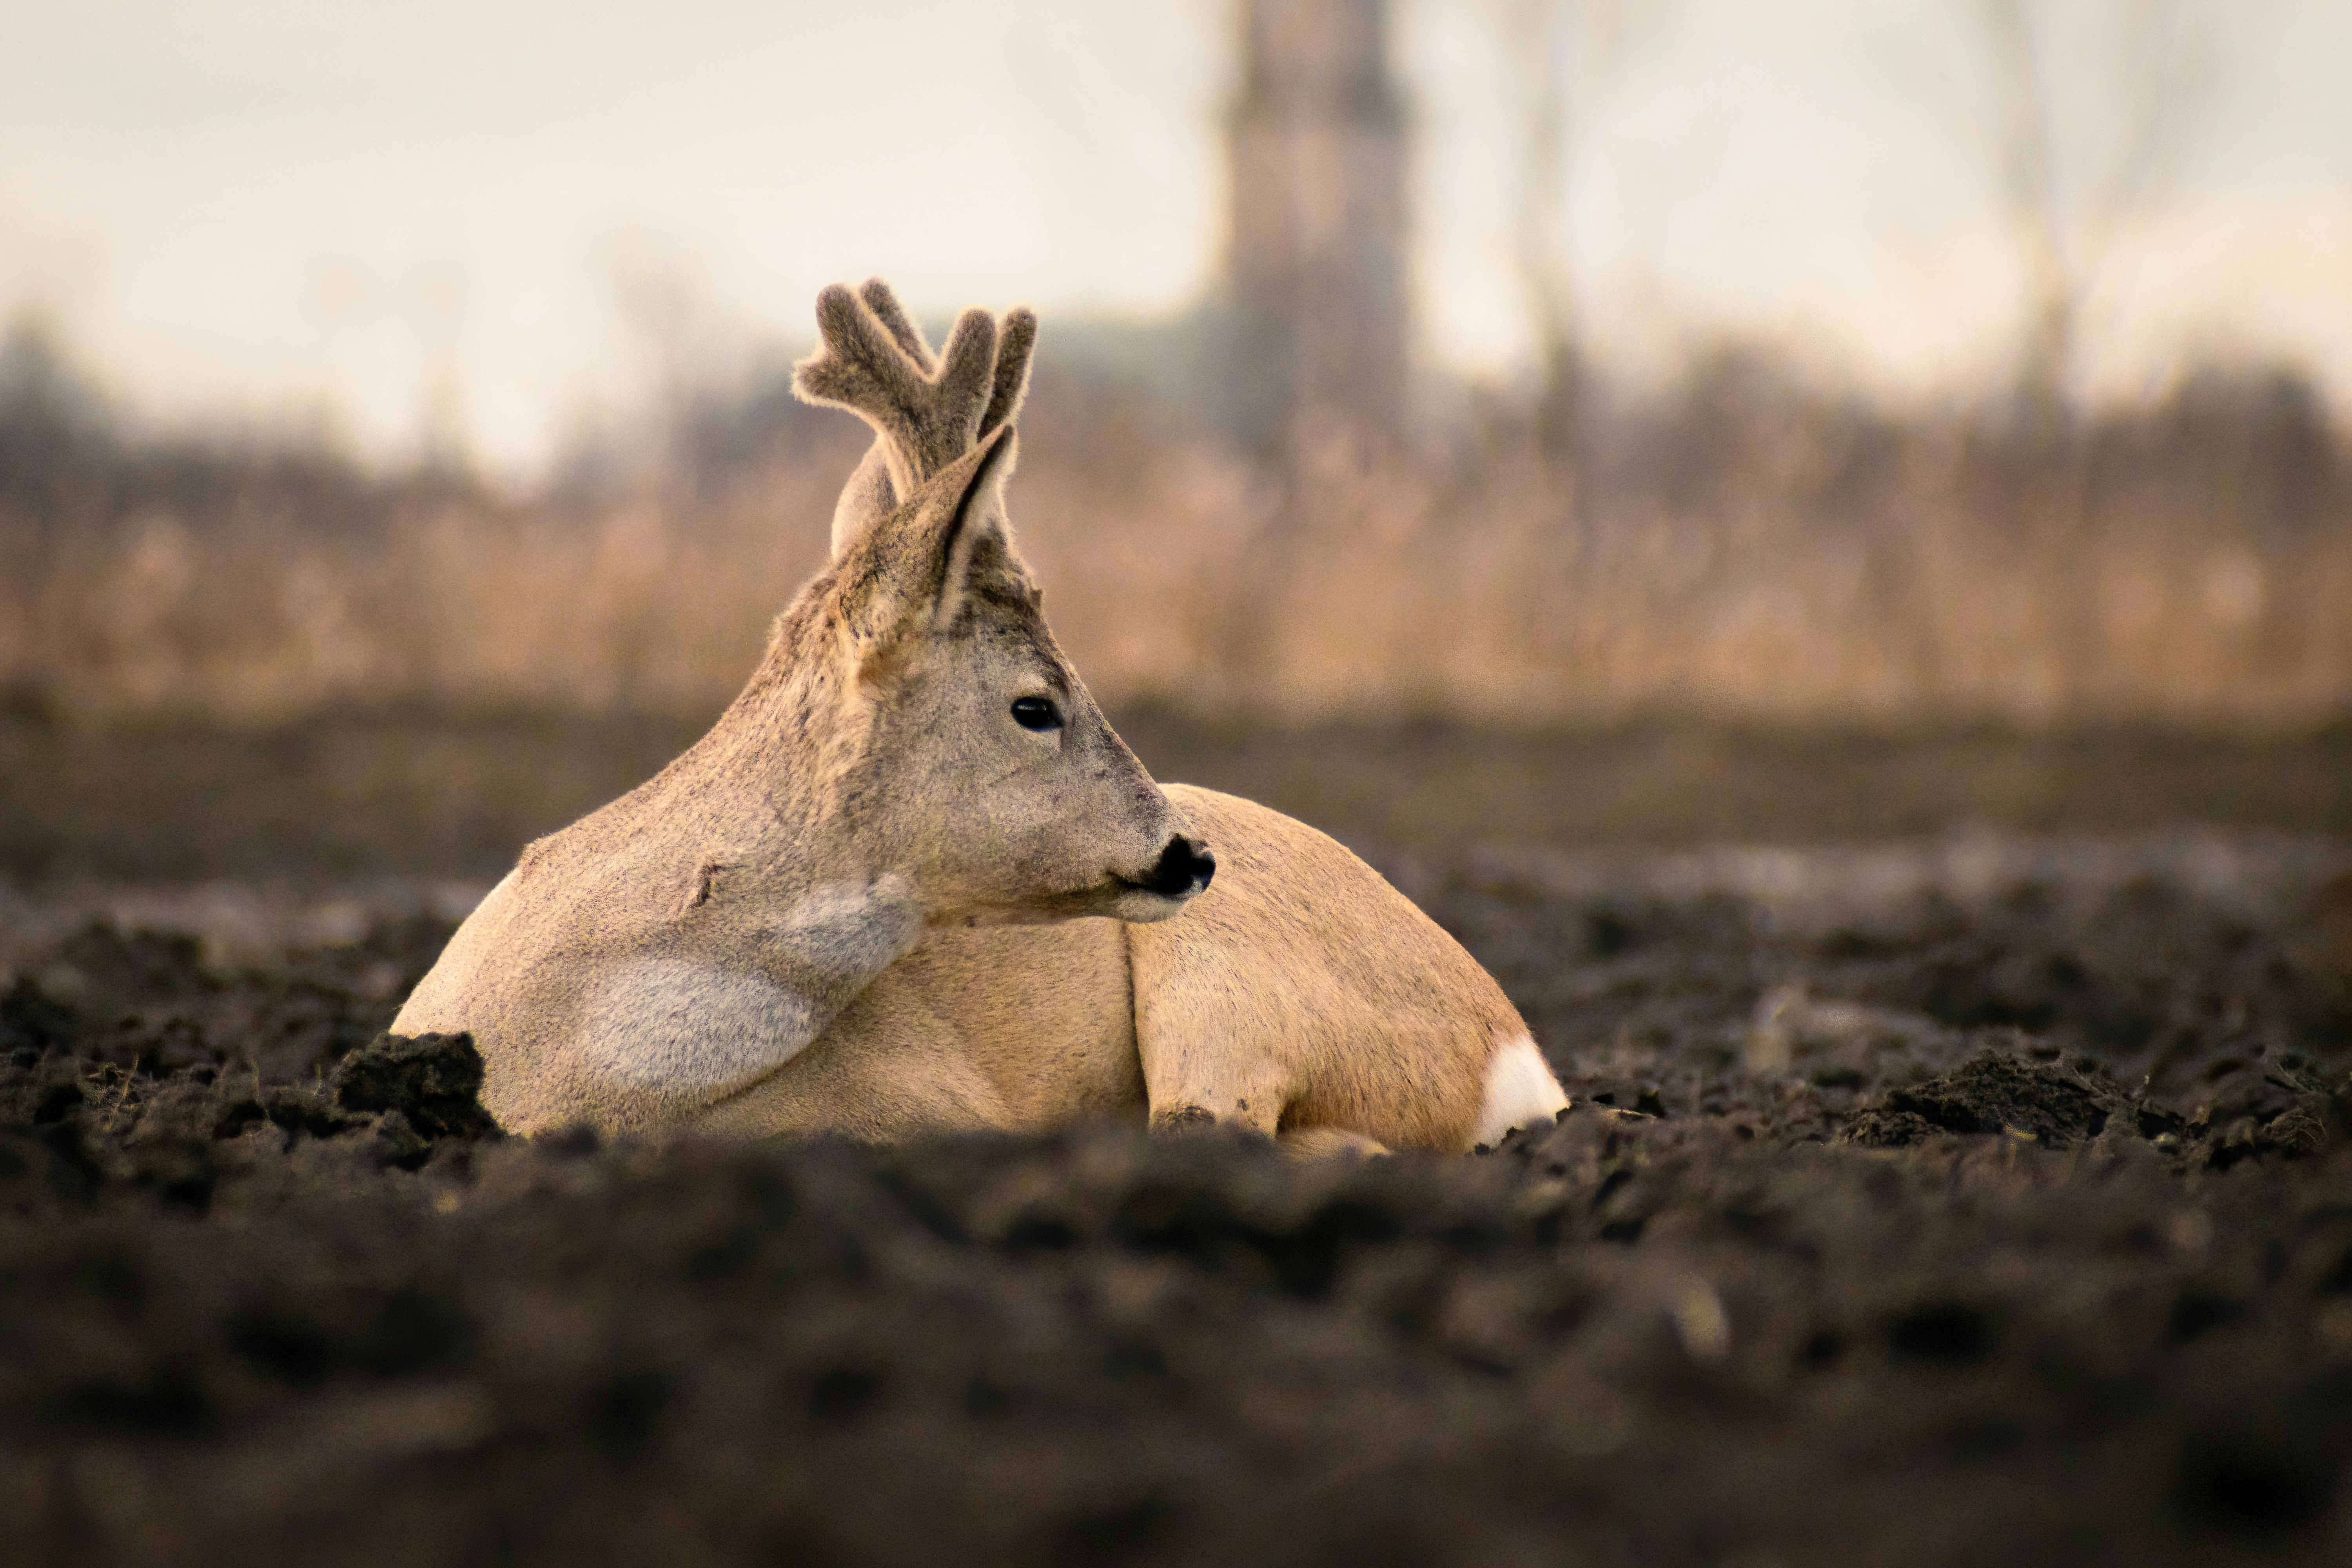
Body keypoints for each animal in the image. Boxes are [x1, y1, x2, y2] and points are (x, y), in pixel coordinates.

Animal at [392, 280, 1568, 1156]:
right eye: (1034, 705)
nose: (1186, 852)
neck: (574, 1049)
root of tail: (1518, 1054)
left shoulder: (930, 1103)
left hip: (1230, 975)